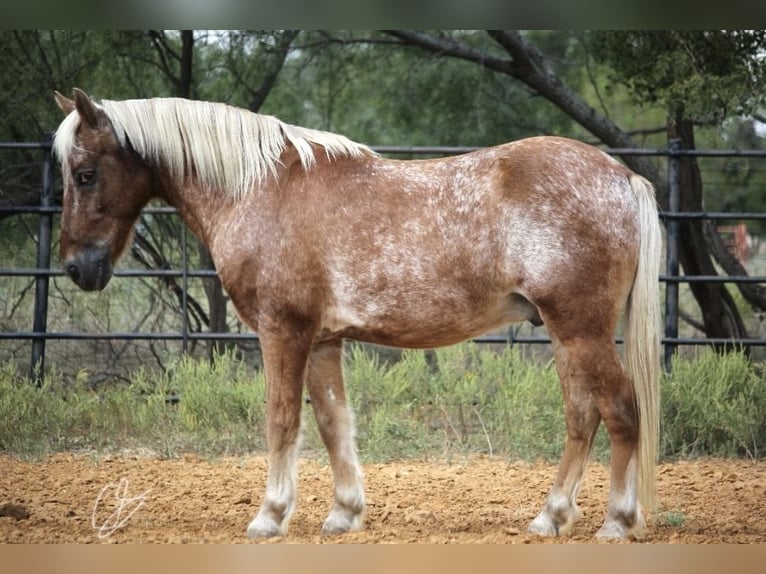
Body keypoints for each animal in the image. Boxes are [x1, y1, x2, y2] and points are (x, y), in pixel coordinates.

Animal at [53, 88, 661, 540]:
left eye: (84, 173)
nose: (78, 267)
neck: (261, 189)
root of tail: (620, 177)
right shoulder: (323, 340)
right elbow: (332, 422)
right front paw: (344, 513)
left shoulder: (283, 332)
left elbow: (282, 420)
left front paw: (269, 516)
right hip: (563, 333)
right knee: (582, 417)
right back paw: (550, 518)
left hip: (580, 330)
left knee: (621, 408)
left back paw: (616, 522)